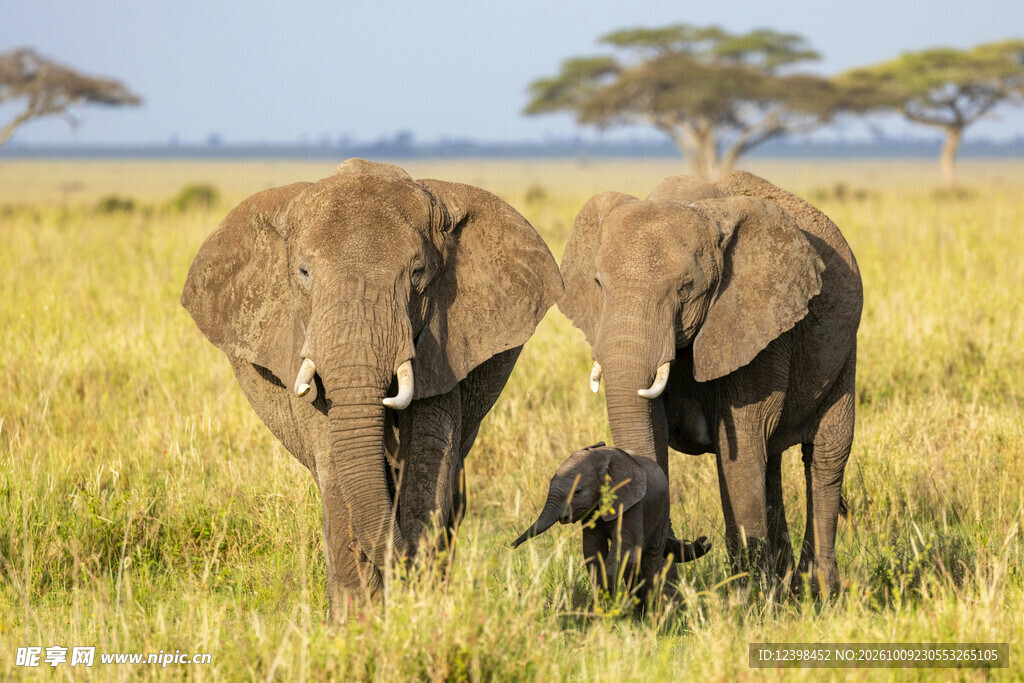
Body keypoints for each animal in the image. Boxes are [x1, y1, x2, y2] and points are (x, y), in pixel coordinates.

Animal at [181, 158, 563, 616]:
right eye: (303, 273)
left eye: (418, 273)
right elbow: (334, 462)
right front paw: (358, 620)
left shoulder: (443, 344)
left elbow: (429, 463)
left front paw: (418, 606)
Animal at [512, 442, 711, 605]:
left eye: (577, 492)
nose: (512, 545)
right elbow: (593, 550)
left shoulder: (632, 503)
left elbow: (625, 551)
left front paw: (594, 613)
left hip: (661, 512)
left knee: (650, 560)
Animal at [558, 171, 862, 593]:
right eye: (599, 284)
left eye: (685, 289)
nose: (698, 542)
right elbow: (652, 429)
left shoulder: (757, 325)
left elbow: (741, 446)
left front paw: (748, 598)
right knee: (771, 464)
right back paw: (786, 584)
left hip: (843, 355)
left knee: (824, 460)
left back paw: (816, 590)